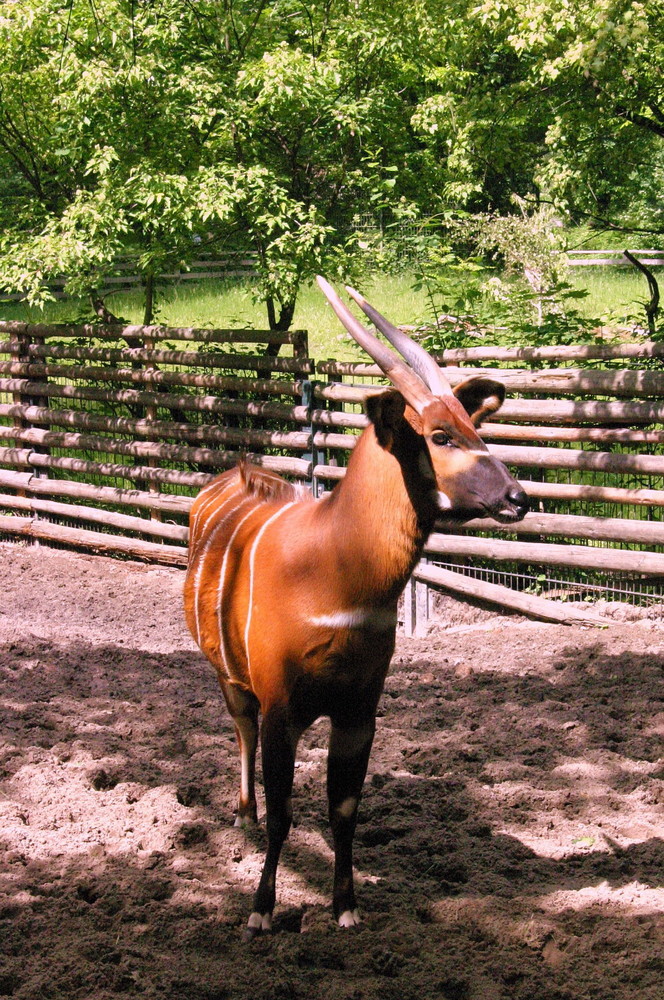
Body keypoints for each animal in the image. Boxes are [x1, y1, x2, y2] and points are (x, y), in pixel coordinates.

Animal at [183, 280, 528, 936]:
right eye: (441, 435)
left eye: (474, 427)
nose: (517, 497)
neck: (334, 573)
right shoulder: (281, 706)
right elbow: (286, 810)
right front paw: (261, 911)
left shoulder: (359, 711)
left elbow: (343, 808)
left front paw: (345, 906)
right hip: (227, 674)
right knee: (240, 729)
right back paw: (243, 815)